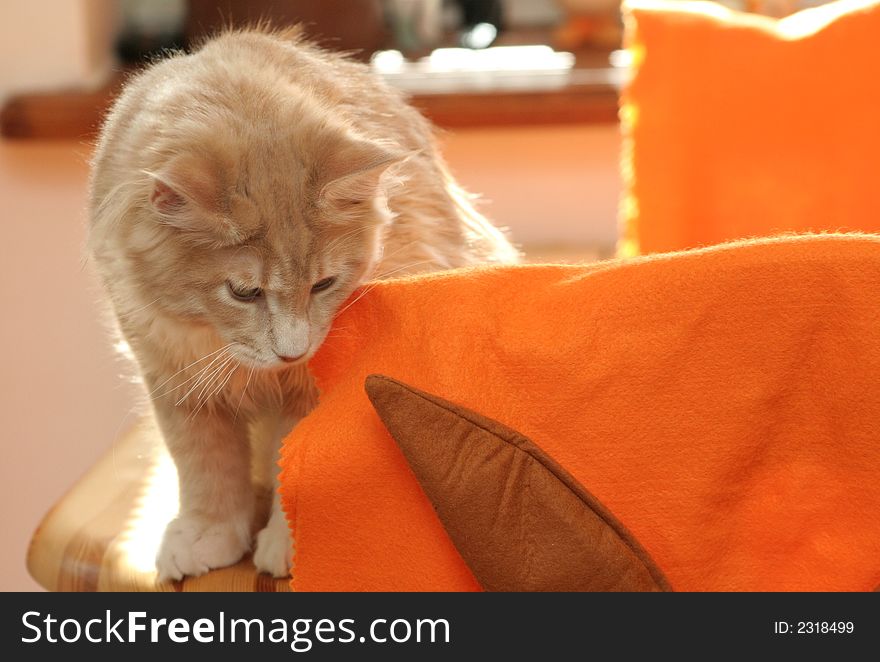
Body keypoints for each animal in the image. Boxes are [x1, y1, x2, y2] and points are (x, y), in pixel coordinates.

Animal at [87, 28, 520, 584]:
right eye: (244, 292)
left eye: (324, 285)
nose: (292, 351)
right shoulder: (174, 380)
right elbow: (204, 466)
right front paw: (207, 532)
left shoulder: (310, 395)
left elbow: (296, 469)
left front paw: (292, 544)